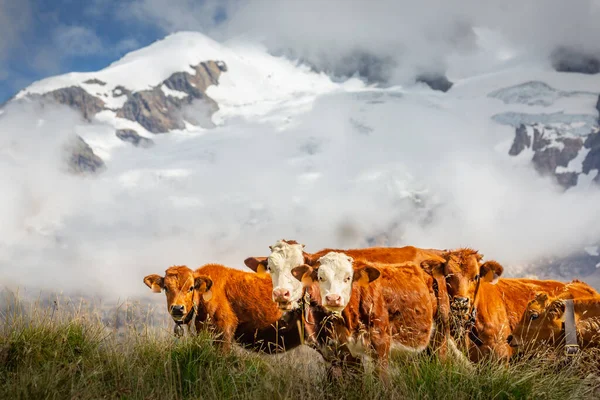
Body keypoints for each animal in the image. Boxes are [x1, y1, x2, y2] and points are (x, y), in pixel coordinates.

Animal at [290, 253, 392, 382]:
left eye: (348, 278)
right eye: (321, 277)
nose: (333, 298)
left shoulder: (381, 342)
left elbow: (381, 377)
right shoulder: (343, 349)